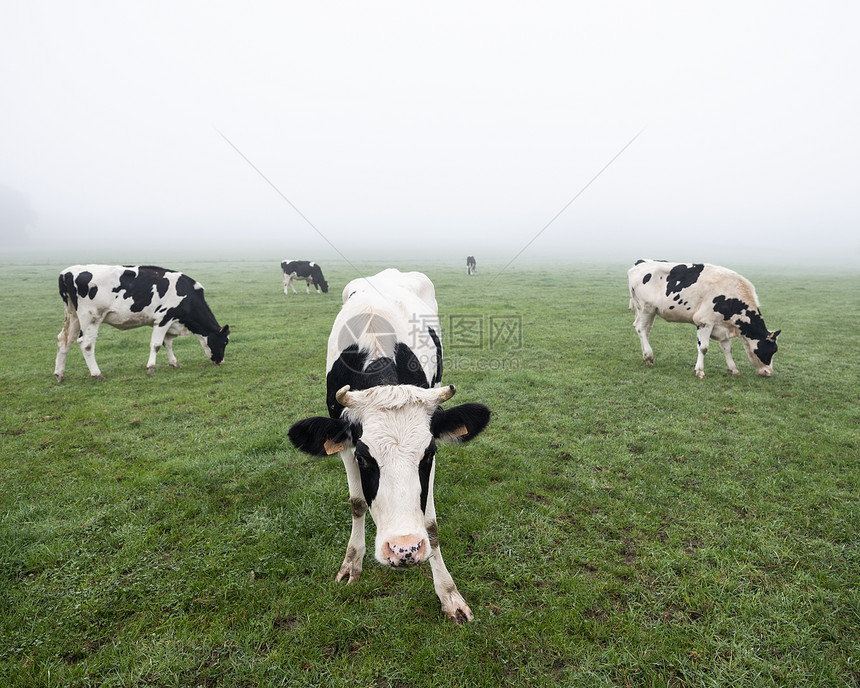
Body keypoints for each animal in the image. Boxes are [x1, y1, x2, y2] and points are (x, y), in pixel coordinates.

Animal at [56, 264, 232, 382]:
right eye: (224, 341)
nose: (221, 361)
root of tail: (66, 273)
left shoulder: (170, 322)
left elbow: (168, 343)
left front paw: (174, 363)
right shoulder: (163, 317)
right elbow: (157, 345)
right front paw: (151, 368)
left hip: (73, 316)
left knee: (64, 340)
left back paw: (59, 374)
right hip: (91, 317)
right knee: (86, 344)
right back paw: (97, 374)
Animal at [288, 268, 490, 624]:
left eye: (429, 454)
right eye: (364, 459)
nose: (404, 549)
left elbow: (430, 523)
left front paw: (449, 594)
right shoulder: (344, 443)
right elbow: (357, 502)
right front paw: (352, 561)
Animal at [624, 260, 780, 378]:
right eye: (772, 350)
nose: (769, 372)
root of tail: (639, 265)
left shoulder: (722, 326)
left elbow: (727, 349)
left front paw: (733, 369)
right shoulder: (704, 321)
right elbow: (703, 348)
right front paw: (699, 371)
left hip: (650, 311)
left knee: (646, 330)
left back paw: (645, 356)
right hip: (646, 307)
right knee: (640, 328)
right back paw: (649, 356)